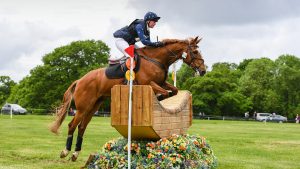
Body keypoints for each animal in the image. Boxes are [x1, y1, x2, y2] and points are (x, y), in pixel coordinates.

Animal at [49, 36, 206, 161]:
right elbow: (166, 93)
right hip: (83, 107)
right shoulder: (148, 83)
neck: (156, 59)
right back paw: (65, 151)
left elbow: (174, 91)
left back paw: (75, 154)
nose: (203, 71)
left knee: (82, 127)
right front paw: (159, 97)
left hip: (93, 107)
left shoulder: (161, 83)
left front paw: (160, 98)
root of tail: (80, 80)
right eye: (195, 52)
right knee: (72, 125)